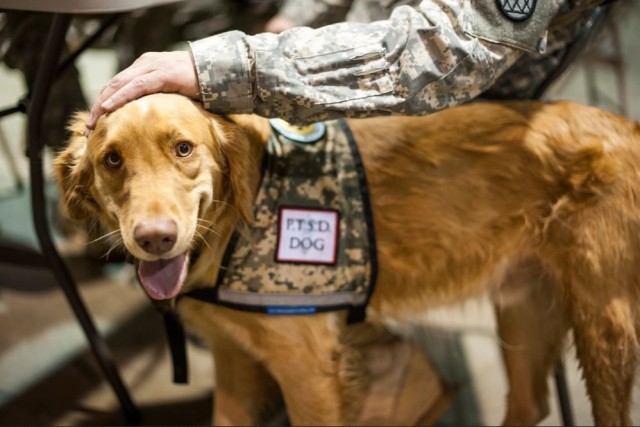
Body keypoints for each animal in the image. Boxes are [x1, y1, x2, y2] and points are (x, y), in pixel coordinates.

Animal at [53, 94, 640, 427]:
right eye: (112, 159)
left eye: (183, 148)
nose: (155, 239)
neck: (231, 231)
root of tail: (626, 127)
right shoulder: (233, 356)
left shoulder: (308, 367)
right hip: (524, 304)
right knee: (529, 405)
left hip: (604, 324)